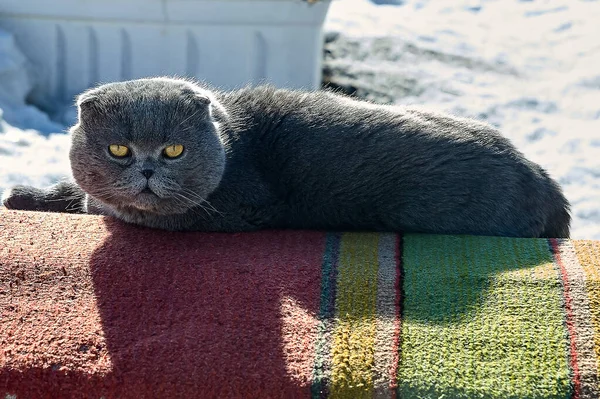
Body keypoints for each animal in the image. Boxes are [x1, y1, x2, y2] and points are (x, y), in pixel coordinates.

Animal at [1, 76, 572, 238]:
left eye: (173, 150)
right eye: (119, 149)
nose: (145, 169)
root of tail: (545, 182)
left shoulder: (237, 207)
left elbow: (103, 206)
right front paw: (23, 194)